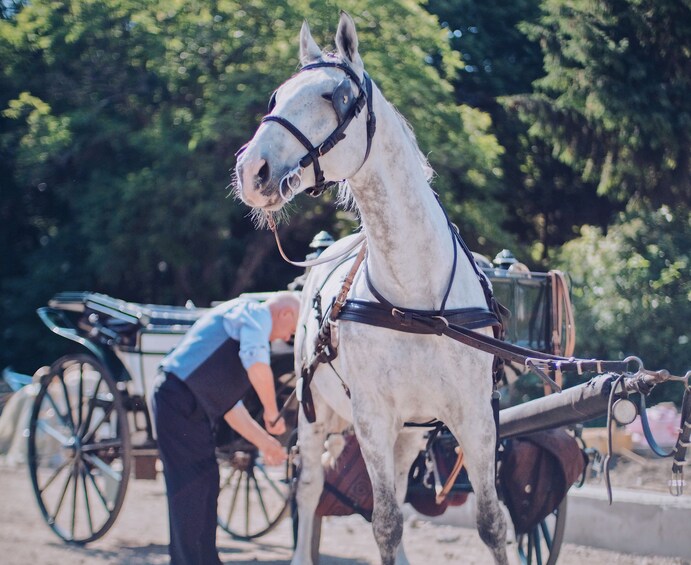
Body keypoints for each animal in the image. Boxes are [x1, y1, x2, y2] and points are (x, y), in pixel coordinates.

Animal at [235, 13, 510, 564]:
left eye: (334, 97)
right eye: (276, 97)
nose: (252, 171)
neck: (417, 303)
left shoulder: (474, 415)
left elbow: (491, 522)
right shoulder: (371, 416)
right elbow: (383, 523)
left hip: (410, 433)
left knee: (399, 493)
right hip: (318, 417)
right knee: (310, 490)